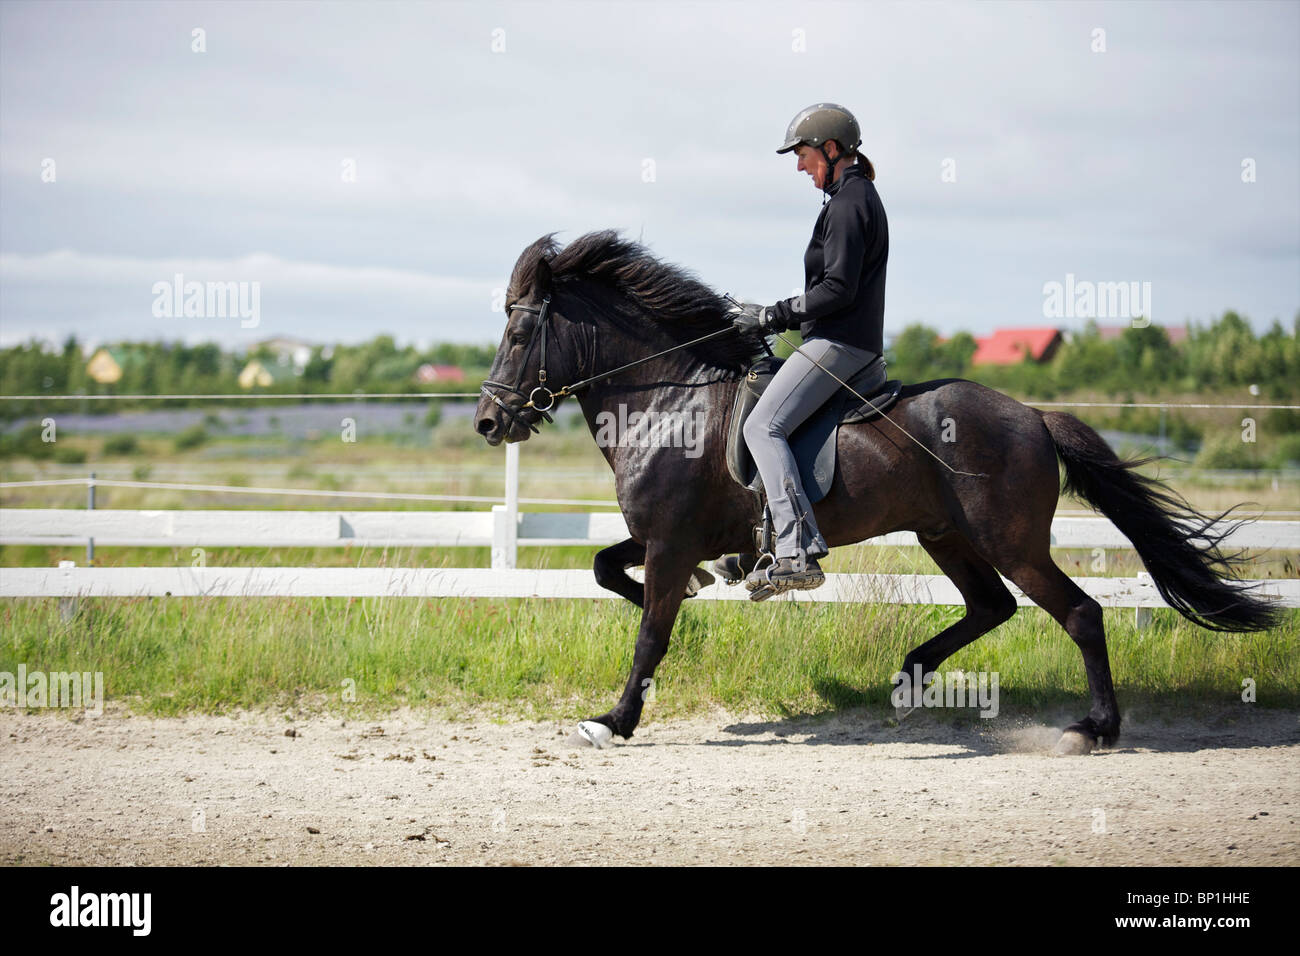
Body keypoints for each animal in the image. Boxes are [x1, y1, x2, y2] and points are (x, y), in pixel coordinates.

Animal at [475, 231, 1279, 754]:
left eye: (518, 333)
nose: (488, 420)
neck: (669, 400)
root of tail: (1033, 415)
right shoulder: (667, 537)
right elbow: (605, 568)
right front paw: (704, 589)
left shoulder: (670, 540)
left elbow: (650, 633)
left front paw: (613, 721)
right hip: (945, 535)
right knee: (992, 607)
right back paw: (910, 678)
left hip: (1008, 540)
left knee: (1078, 613)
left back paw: (1096, 729)